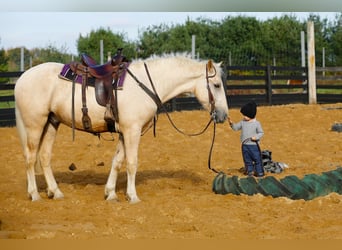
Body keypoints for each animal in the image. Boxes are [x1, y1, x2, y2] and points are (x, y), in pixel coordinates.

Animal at [15, 54, 230, 203]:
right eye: (216, 85)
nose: (223, 115)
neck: (147, 83)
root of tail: (22, 78)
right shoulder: (132, 131)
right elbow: (132, 163)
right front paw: (132, 196)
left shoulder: (124, 132)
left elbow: (117, 161)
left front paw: (110, 193)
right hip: (35, 124)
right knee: (30, 158)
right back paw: (34, 194)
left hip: (51, 123)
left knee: (44, 157)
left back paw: (56, 191)